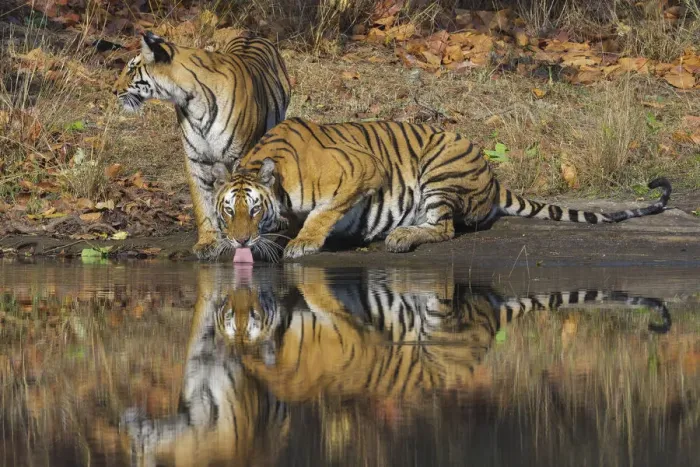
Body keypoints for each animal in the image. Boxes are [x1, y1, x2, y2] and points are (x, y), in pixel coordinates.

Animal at [112, 31, 291, 259]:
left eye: (131, 69)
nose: (113, 91)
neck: (191, 101)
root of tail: (251, 34)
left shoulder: (240, 156)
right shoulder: (197, 158)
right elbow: (202, 202)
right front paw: (208, 242)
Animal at [211, 118, 672, 260]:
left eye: (254, 209)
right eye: (227, 211)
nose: (240, 241)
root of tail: (494, 177)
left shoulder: (362, 169)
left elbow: (325, 212)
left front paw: (302, 243)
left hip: (439, 168)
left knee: (445, 228)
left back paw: (399, 237)